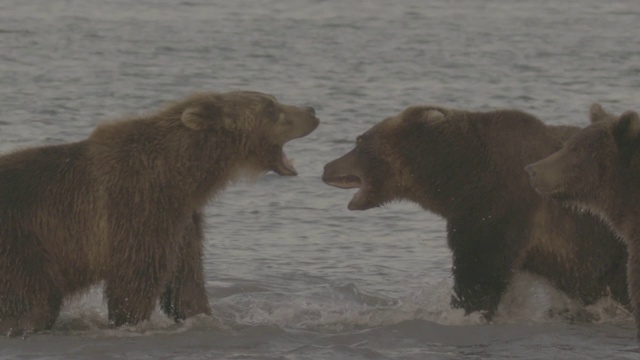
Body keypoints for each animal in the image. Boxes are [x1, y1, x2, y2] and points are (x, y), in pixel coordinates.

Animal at [0, 90, 318, 334]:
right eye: (271, 107)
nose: (312, 110)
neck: (181, 174)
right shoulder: (139, 207)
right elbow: (135, 280)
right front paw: (130, 321)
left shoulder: (184, 220)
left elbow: (186, 282)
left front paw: (202, 315)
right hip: (23, 243)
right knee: (32, 303)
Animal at [322, 105, 628, 320]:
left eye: (359, 140)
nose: (326, 166)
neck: (460, 176)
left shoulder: (500, 207)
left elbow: (479, 269)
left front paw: (464, 309)